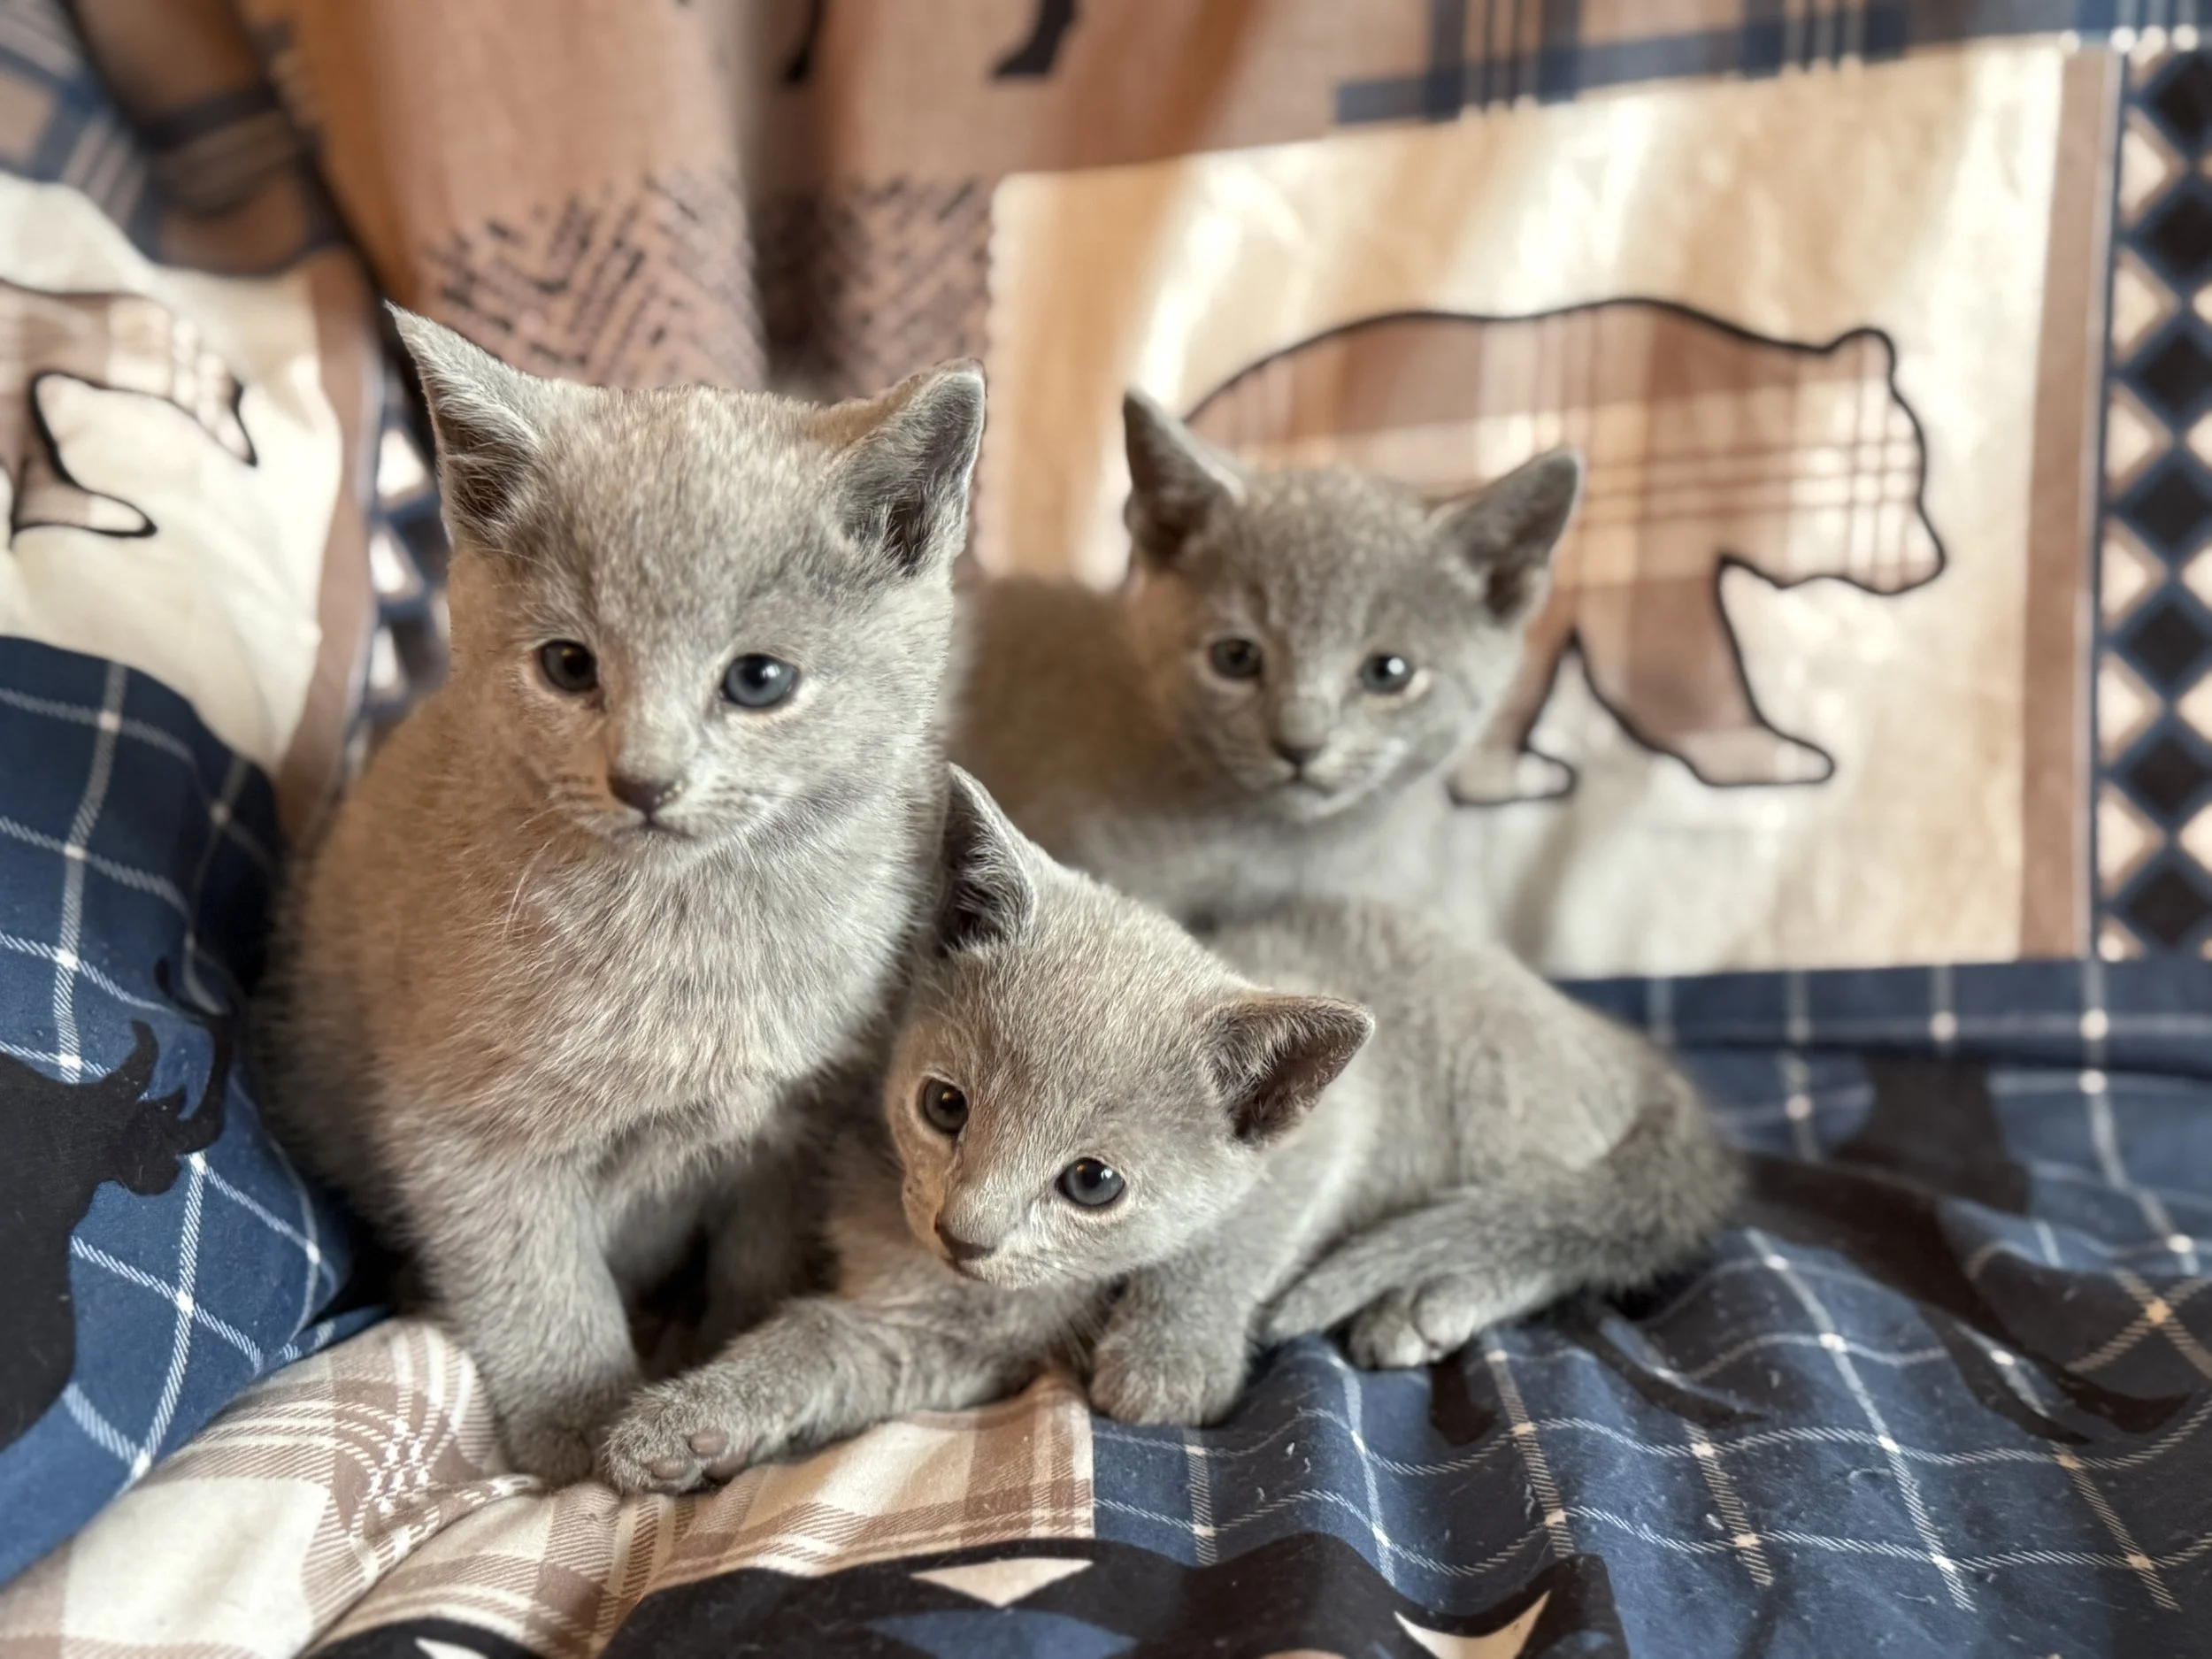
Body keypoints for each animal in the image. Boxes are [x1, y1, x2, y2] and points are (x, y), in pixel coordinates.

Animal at [256, 308, 986, 1482]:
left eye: (758, 680)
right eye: (567, 665)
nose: (644, 780)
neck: (695, 923)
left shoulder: (792, 1133)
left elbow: (756, 1262)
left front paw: (710, 1369)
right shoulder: (464, 1135)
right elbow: (538, 1289)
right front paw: (574, 1445)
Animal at [599, 768, 1737, 1491]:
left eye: (1092, 1184)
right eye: (944, 1107)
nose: (967, 1232)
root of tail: (1629, 1049)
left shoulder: (1332, 1124)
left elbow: (1226, 1238)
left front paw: (1163, 1362)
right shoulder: (940, 1333)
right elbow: (821, 1342)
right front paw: (684, 1424)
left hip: (1499, 1104)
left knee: (1571, 1221)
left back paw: (1431, 1301)